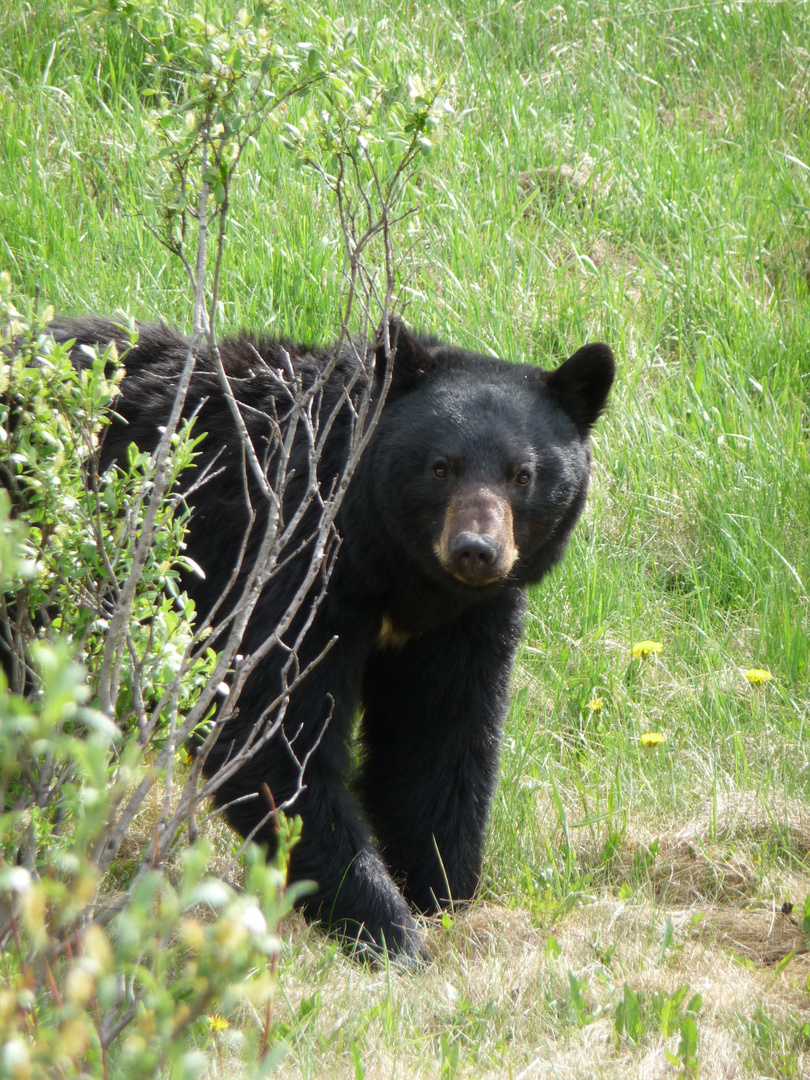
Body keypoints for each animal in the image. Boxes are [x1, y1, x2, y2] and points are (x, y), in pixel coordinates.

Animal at [49, 313, 613, 963]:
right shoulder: (286, 564)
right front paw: (388, 929)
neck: (394, 570)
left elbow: (439, 740)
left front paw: (440, 894)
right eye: (440, 467)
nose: (476, 551)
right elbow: (273, 728)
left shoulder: (462, 623)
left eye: (523, 474)